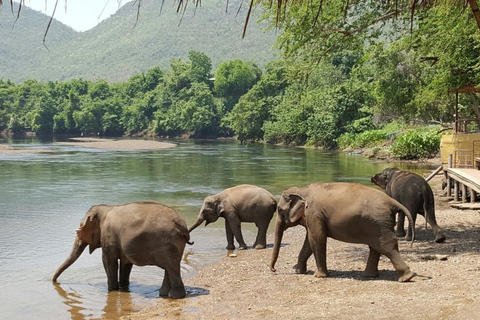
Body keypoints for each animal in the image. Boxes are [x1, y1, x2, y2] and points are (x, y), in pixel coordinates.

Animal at [53, 201, 192, 298]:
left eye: (79, 229)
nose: (53, 281)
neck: (105, 208)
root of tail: (183, 227)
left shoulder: (108, 238)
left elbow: (108, 261)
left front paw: (112, 289)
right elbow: (125, 264)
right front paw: (123, 287)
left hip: (168, 243)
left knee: (171, 267)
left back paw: (174, 296)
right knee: (170, 267)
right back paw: (164, 294)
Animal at [268, 182, 418, 282]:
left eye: (279, 210)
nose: (274, 270)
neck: (302, 189)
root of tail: (392, 201)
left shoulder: (314, 213)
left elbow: (317, 238)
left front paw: (319, 276)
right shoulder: (313, 216)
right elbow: (309, 241)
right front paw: (298, 270)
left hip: (379, 223)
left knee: (386, 245)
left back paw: (407, 277)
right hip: (377, 224)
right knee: (376, 247)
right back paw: (369, 275)